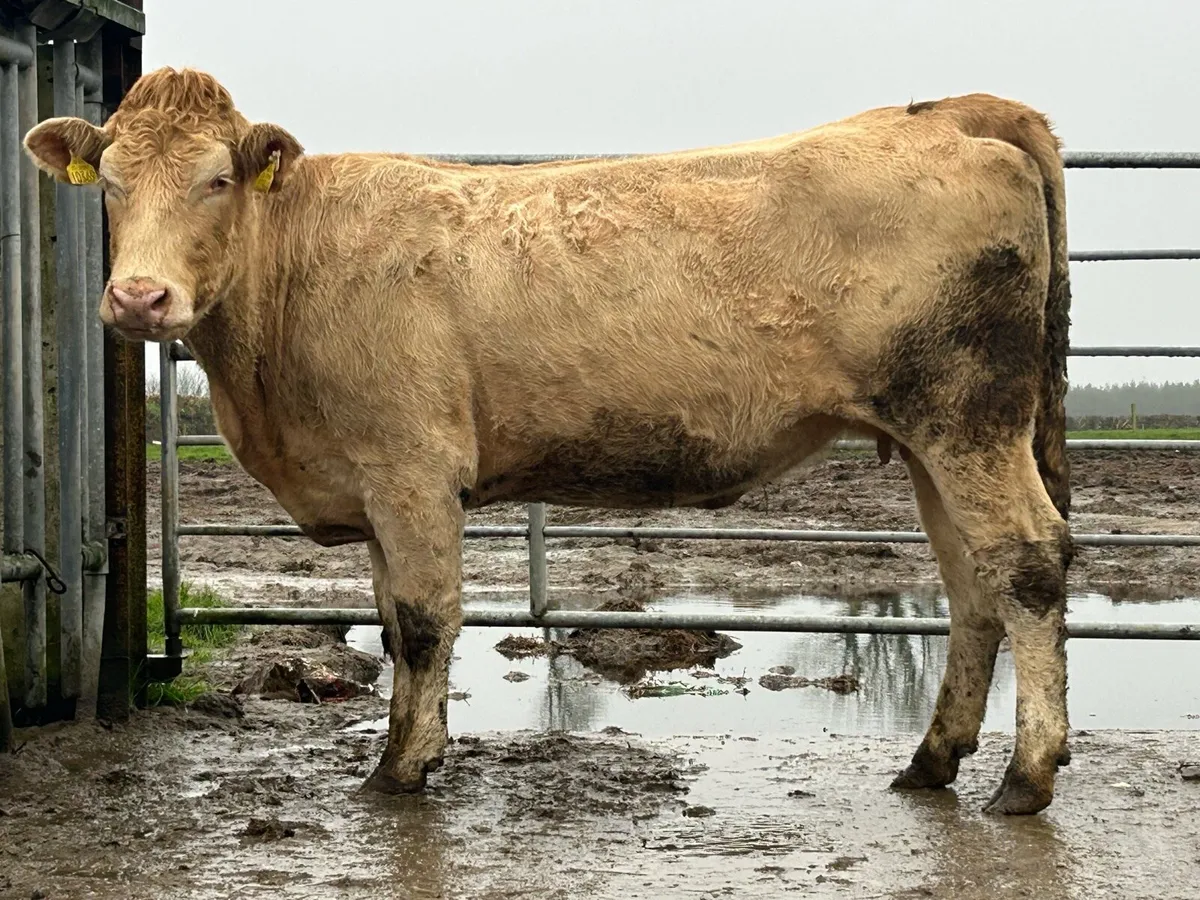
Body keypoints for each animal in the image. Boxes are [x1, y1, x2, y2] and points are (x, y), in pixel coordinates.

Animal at [25, 68, 1074, 815]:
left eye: (216, 180)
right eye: (109, 185)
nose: (139, 299)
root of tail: (948, 114)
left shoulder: (411, 471)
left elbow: (423, 620)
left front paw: (400, 771)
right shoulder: (371, 486)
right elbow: (393, 620)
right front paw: (409, 746)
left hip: (968, 415)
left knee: (1026, 561)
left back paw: (1025, 778)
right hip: (936, 438)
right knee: (970, 585)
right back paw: (932, 761)